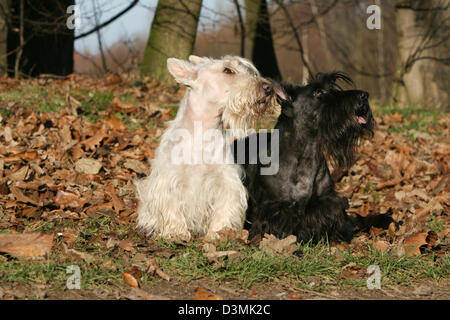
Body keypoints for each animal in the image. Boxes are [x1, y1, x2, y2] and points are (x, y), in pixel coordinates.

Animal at [135, 55, 280, 240]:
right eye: (228, 70)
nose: (269, 87)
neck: (202, 134)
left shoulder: (227, 182)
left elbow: (226, 207)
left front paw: (219, 234)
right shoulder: (169, 181)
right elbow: (171, 207)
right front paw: (176, 232)